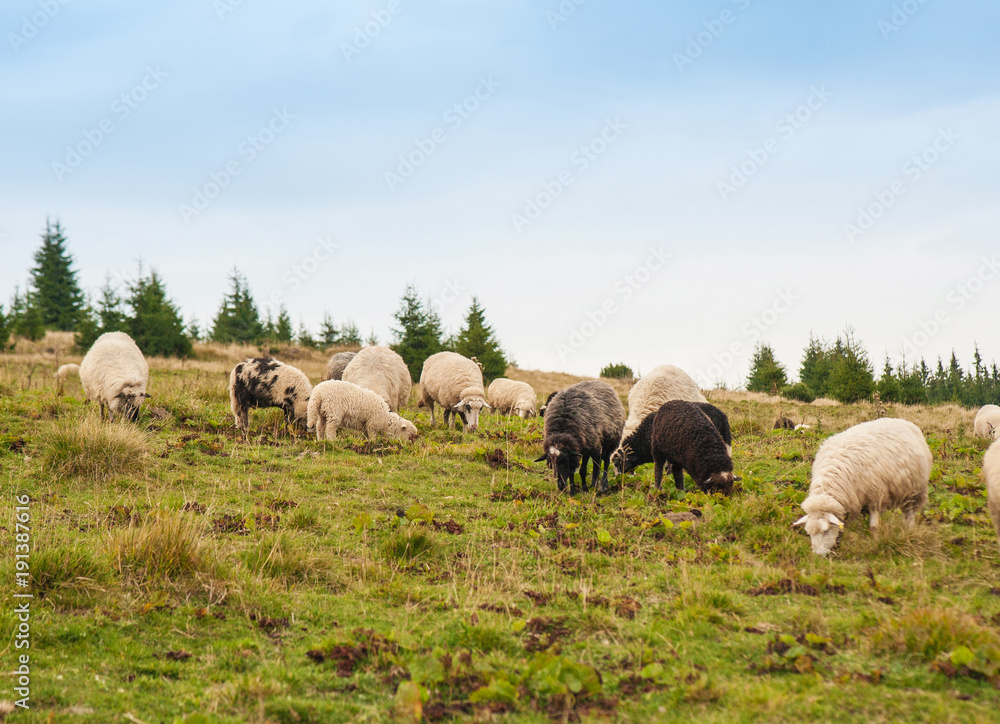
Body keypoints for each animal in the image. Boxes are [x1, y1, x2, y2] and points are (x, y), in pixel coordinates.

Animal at [792, 416, 932, 556]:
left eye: (826, 531)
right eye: (808, 533)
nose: (818, 556)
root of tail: (902, 421)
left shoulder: (875, 496)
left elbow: (874, 527)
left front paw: (875, 542)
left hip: (913, 491)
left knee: (909, 513)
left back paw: (909, 530)